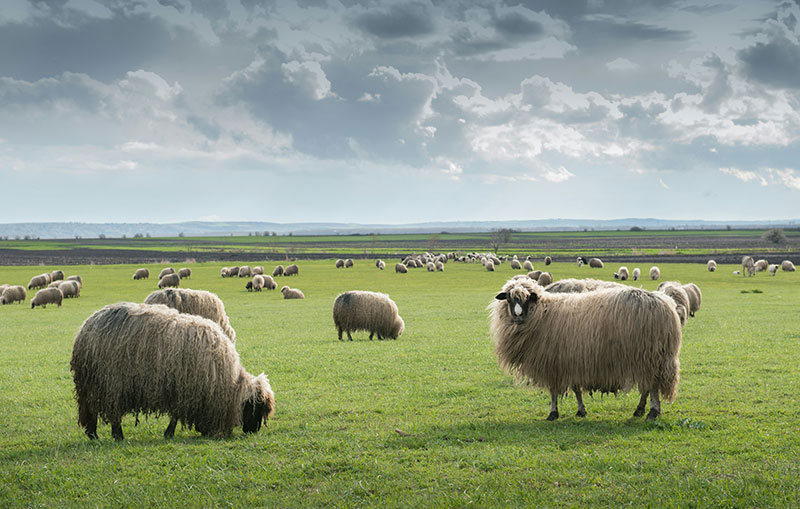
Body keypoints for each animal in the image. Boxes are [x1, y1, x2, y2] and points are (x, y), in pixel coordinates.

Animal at [70, 302, 274, 440]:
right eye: (254, 407)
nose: (253, 431)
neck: (228, 383)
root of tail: (86, 326)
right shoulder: (185, 390)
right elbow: (176, 415)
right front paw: (169, 433)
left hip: (93, 383)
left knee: (91, 409)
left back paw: (93, 434)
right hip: (110, 383)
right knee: (111, 412)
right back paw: (117, 435)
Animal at [489, 277, 682, 421]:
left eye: (528, 298)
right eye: (509, 299)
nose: (518, 315)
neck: (542, 313)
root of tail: (666, 304)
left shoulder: (552, 362)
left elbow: (553, 390)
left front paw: (553, 413)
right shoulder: (571, 360)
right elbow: (575, 388)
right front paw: (581, 410)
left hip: (651, 355)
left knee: (653, 385)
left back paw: (652, 412)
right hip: (648, 356)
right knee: (647, 385)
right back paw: (640, 410)